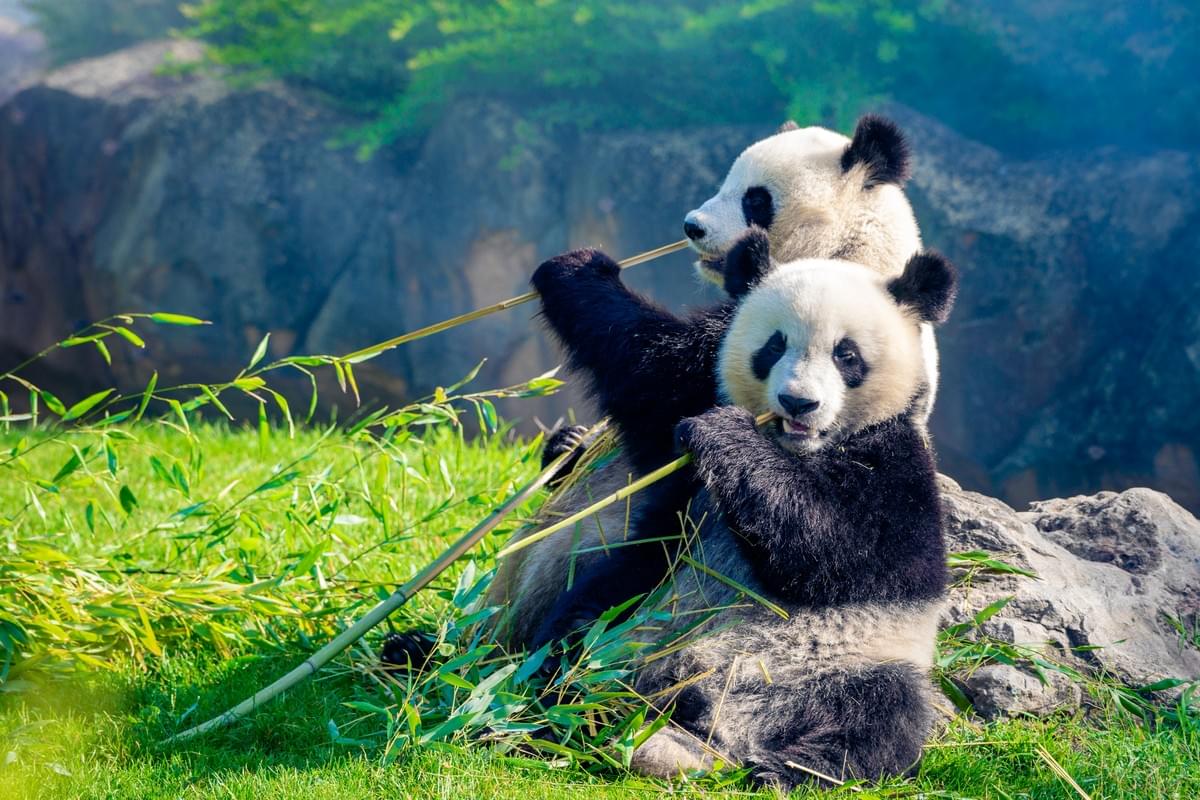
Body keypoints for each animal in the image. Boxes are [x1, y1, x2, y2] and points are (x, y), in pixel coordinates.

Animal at [529, 233, 957, 788]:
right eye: (773, 346)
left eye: (846, 355)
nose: (798, 403)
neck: (796, 449)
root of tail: (715, 726)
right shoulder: (692, 397)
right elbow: (645, 364)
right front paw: (579, 268)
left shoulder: (896, 466)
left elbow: (848, 551)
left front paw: (726, 435)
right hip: (636, 607)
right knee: (576, 632)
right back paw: (556, 707)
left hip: (856, 659)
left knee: (883, 718)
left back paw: (787, 768)